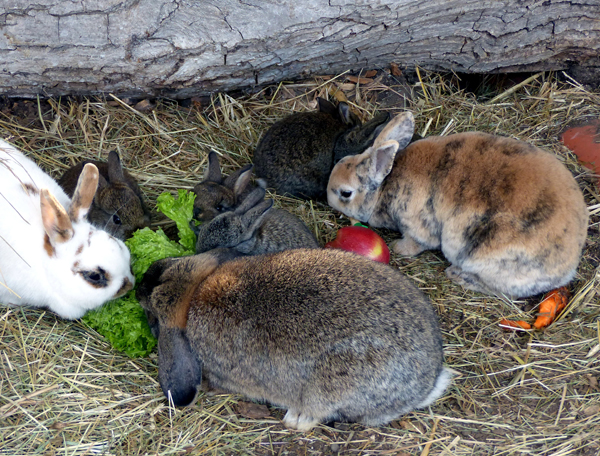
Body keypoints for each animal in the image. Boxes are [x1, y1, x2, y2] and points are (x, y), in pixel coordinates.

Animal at [137, 249, 450, 432]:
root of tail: (426, 383)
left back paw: (295, 418)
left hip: (337, 382)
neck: (194, 294)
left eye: (152, 312)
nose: (140, 284)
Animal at [326, 113, 588, 300]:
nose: (327, 198)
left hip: (481, 254)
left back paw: (456, 275)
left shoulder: (416, 227)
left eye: (345, 193)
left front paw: (398, 248)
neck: (384, 186)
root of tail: (567, 267)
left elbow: (416, 243)